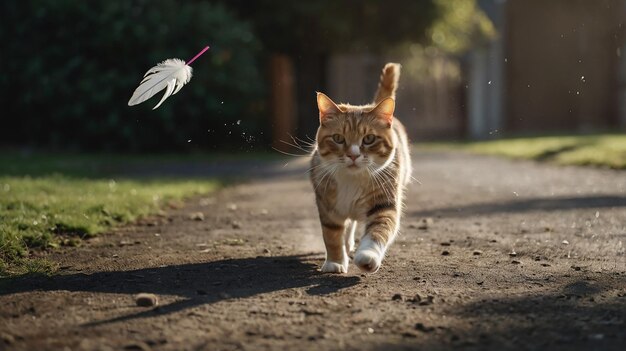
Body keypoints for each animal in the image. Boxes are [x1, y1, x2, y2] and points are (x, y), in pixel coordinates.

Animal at [308, 63, 410, 274]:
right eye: (338, 138)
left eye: (369, 139)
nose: (353, 155)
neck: (351, 180)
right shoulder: (327, 205)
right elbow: (331, 236)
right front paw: (335, 262)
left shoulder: (384, 202)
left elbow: (378, 230)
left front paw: (367, 257)